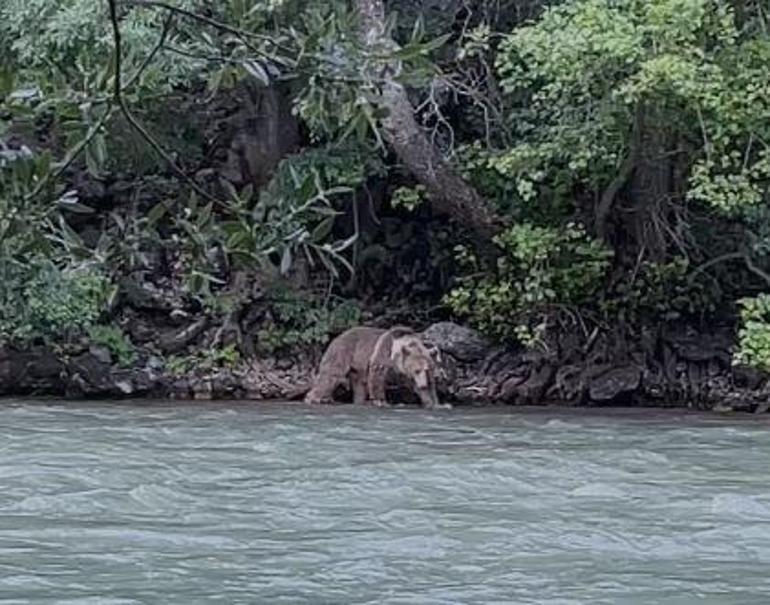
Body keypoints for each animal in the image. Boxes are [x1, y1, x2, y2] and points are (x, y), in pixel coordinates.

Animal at [304, 326, 448, 410]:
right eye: (417, 370)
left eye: (427, 369)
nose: (423, 384)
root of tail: (338, 336)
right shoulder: (384, 353)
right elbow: (377, 375)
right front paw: (381, 401)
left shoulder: (406, 372)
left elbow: (424, 388)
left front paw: (436, 403)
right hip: (344, 352)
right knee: (330, 375)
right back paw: (312, 398)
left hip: (358, 366)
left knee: (359, 385)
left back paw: (359, 402)